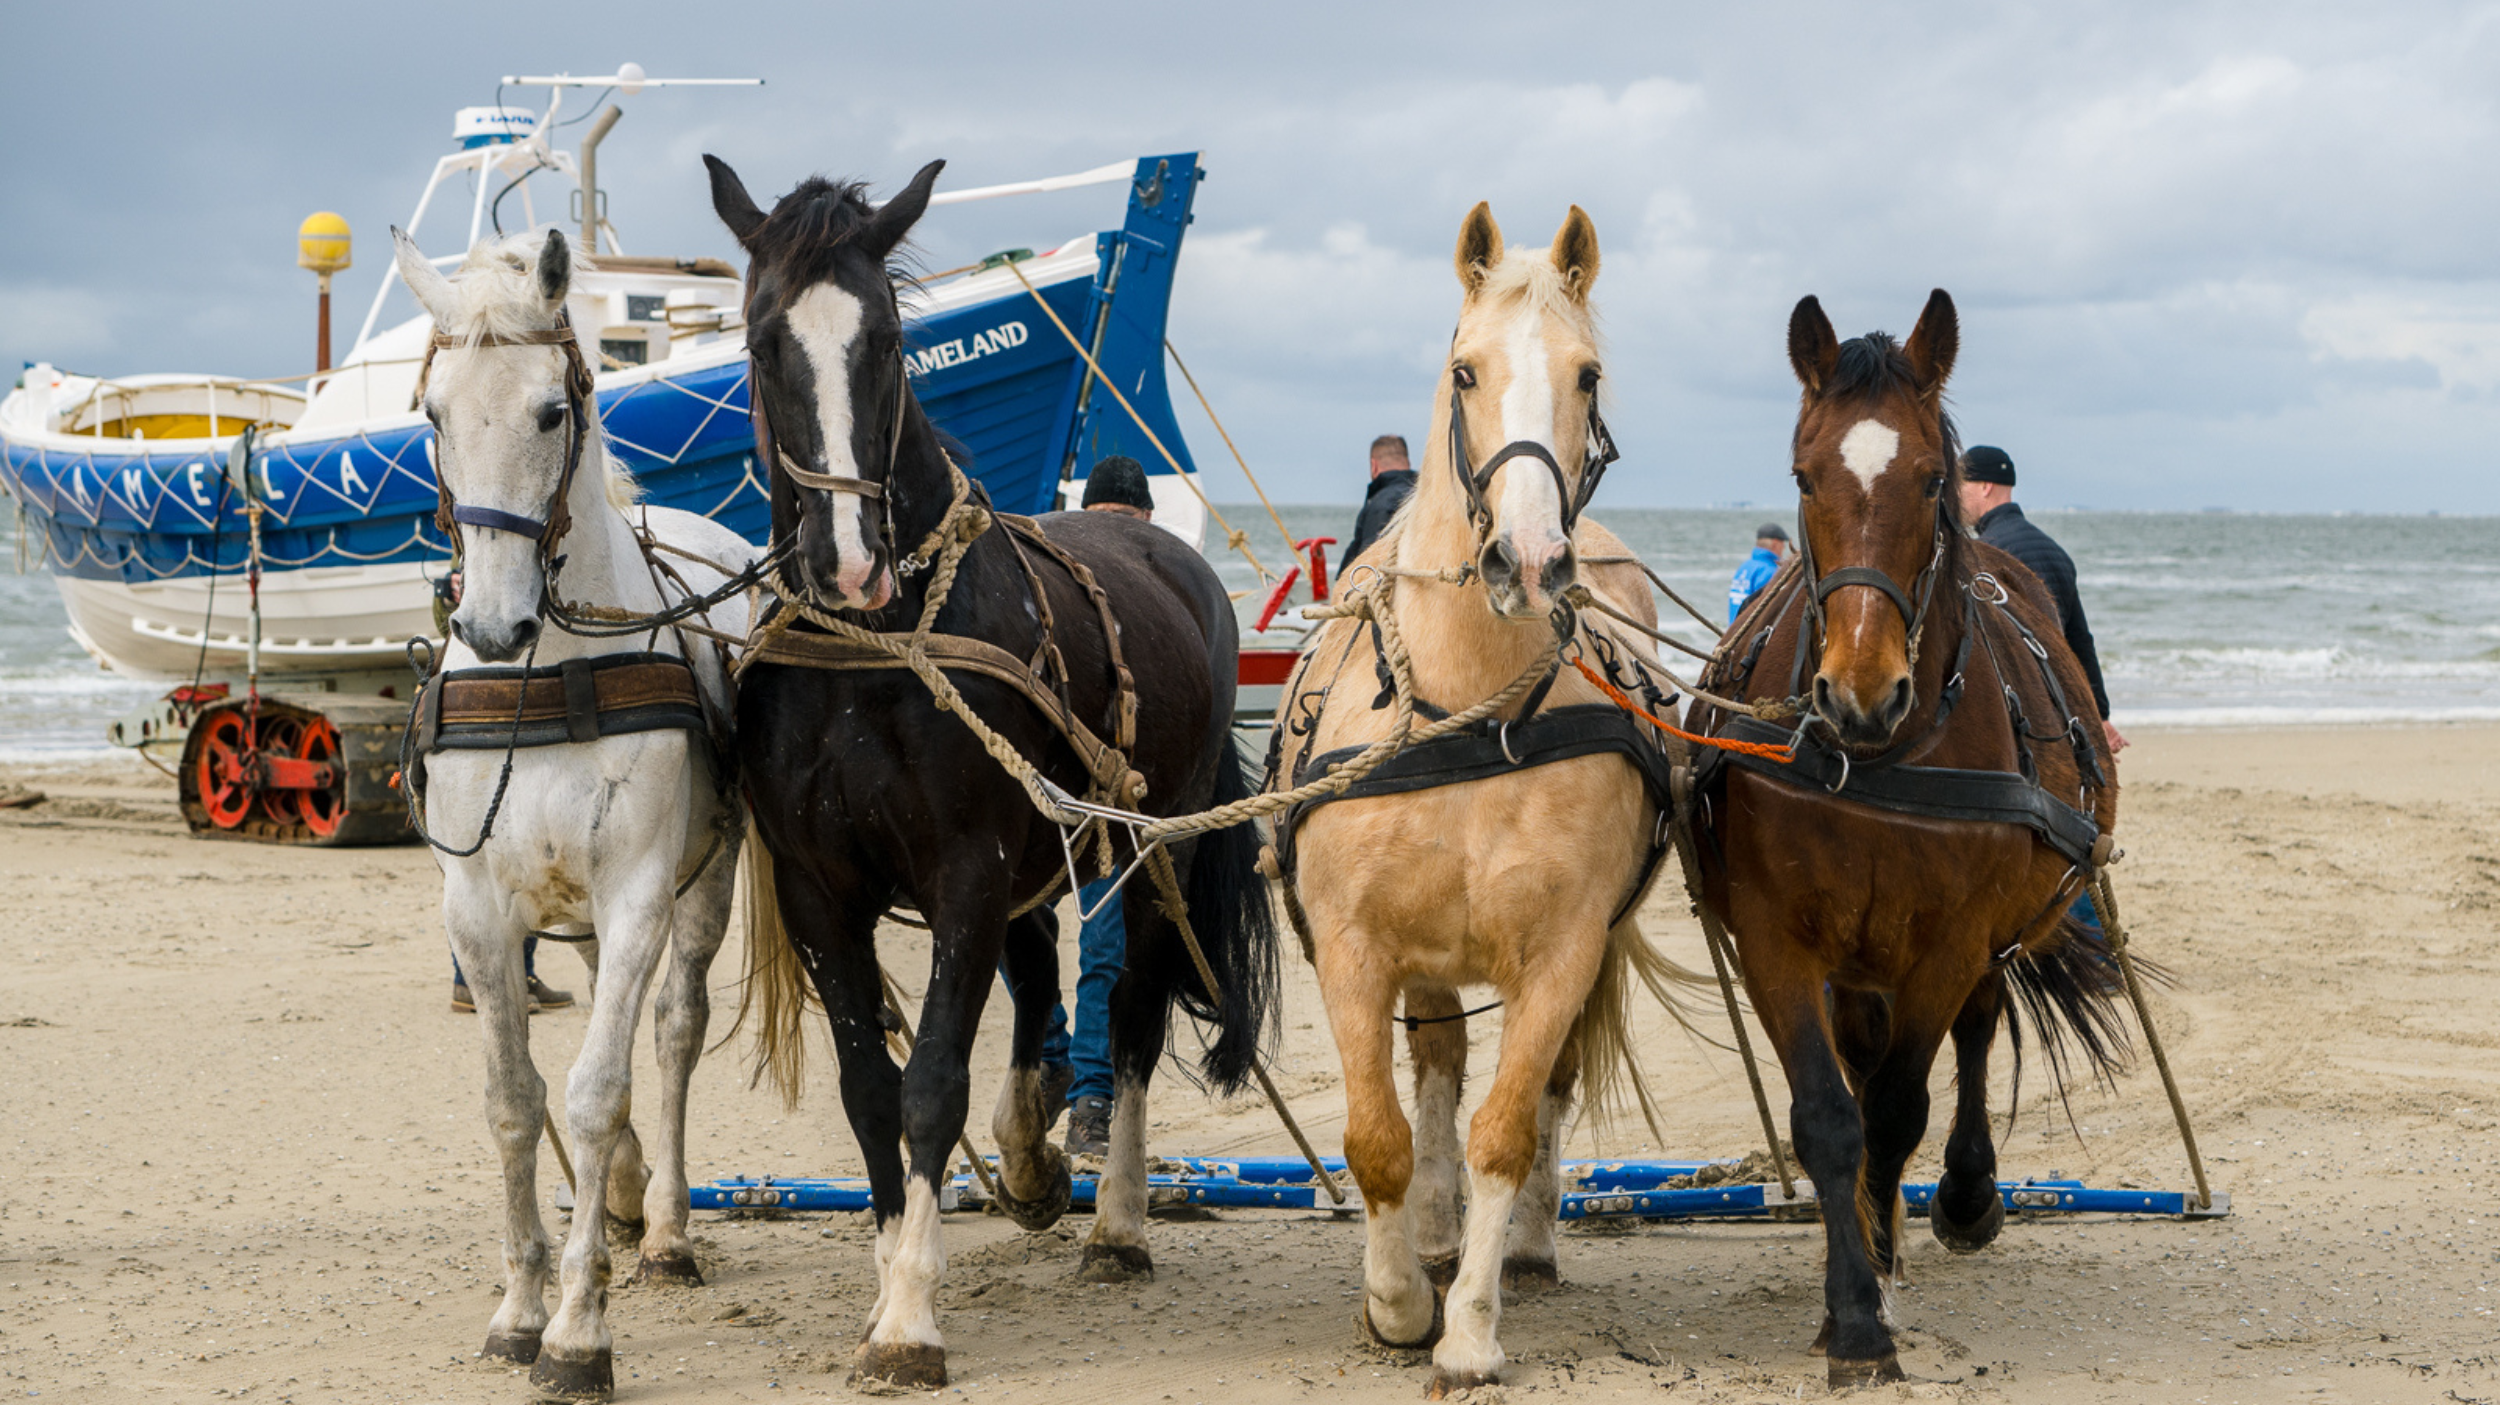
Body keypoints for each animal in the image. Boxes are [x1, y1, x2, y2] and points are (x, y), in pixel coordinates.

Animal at [392, 230, 750, 1390]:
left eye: (553, 410)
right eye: (434, 415)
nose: (490, 626)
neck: (547, 667)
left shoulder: (638, 895)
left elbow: (593, 1094)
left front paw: (578, 1329)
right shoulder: (476, 909)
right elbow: (515, 1102)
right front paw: (520, 1305)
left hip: (704, 880)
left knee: (673, 1031)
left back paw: (669, 1227)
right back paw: (632, 1200)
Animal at [710, 158, 1280, 1380]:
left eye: (885, 339)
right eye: (764, 339)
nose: (847, 559)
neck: (877, 647)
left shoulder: (966, 871)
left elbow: (931, 1083)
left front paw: (910, 1321)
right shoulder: (820, 889)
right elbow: (870, 1091)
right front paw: (892, 1272)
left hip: (1142, 850)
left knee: (1133, 1018)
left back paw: (1116, 1222)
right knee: (1037, 979)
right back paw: (1028, 1151)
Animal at [1280, 202, 1690, 1390]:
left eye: (1587, 375)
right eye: (1464, 370)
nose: (1529, 557)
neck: (1462, 701)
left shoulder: (1562, 948)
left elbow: (1508, 1126)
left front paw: (1466, 1328)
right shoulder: (1355, 947)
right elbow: (1377, 1136)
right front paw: (1398, 1300)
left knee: (1537, 1091)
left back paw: (1526, 1243)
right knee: (1433, 1071)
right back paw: (1428, 1228)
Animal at [1680, 290, 2130, 1380]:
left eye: (1931, 478)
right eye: (1805, 474)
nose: (1860, 691)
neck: (1878, 761)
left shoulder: (1950, 939)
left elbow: (1896, 1109)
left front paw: (1874, 1286)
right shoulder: (1777, 938)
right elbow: (1829, 1116)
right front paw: (1849, 1307)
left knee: (1972, 1033)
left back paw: (1959, 1198)